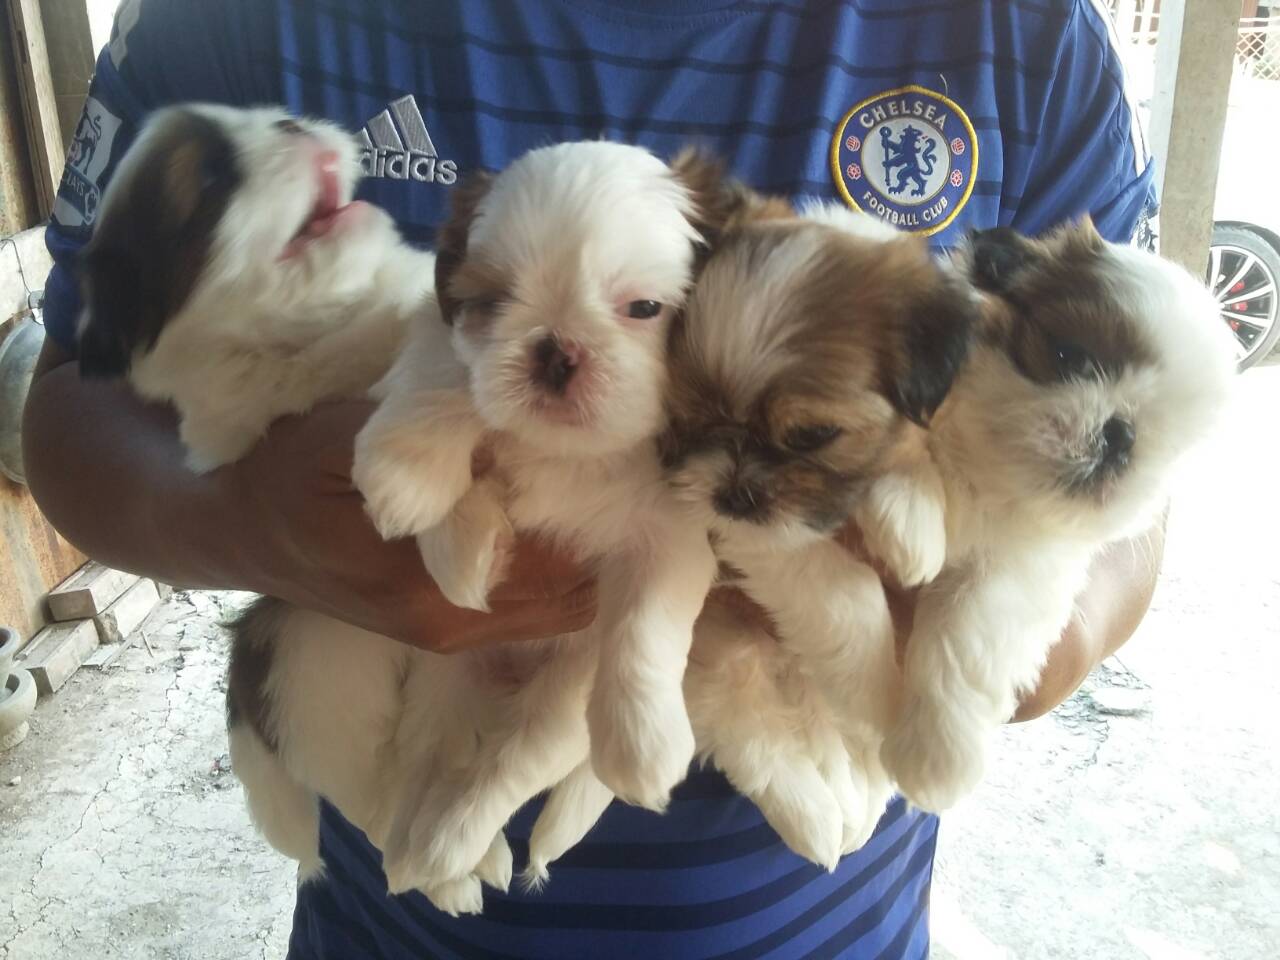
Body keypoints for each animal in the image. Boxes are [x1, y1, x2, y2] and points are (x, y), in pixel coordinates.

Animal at [875, 220, 1237, 812]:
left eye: (1172, 443)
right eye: (1069, 357)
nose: (1121, 435)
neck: (987, 471)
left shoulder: (1024, 571)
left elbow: (968, 628)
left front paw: (937, 757)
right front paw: (904, 511)